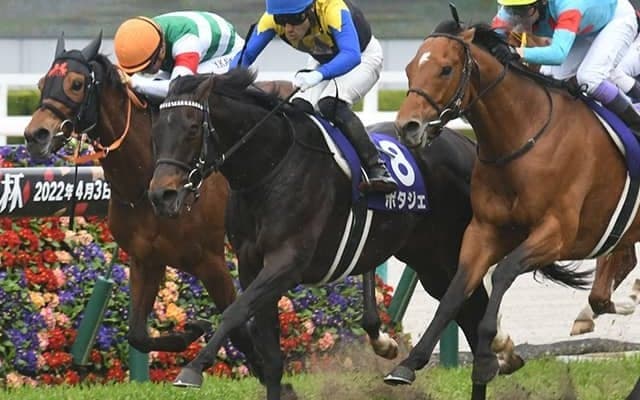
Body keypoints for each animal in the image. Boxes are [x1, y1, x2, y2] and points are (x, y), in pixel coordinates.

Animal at [21, 33, 263, 375]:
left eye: (76, 84)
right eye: (42, 83)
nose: (35, 135)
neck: (146, 181)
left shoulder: (212, 262)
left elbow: (240, 327)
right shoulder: (145, 259)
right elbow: (137, 334)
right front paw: (192, 328)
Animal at [142, 68, 591, 400]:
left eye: (192, 126)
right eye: (157, 130)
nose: (162, 195)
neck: (270, 167)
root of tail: (468, 148)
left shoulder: (287, 263)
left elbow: (235, 311)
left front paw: (192, 369)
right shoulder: (253, 265)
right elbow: (268, 354)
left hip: (451, 253)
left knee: (471, 306)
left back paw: (493, 355)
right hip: (428, 258)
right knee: (466, 309)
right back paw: (498, 355)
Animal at [393, 20, 638, 399]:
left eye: (445, 69)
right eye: (408, 68)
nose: (407, 127)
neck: (522, 138)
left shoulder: (557, 234)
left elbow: (503, 272)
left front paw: (488, 354)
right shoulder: (484, 230)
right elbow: (454, 292)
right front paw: (409, 363)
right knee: (609, 282)